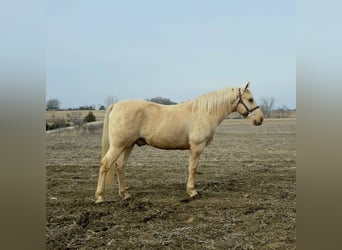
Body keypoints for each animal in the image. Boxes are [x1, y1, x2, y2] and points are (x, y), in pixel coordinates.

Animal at [95, 82, 264, 203]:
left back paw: (125, 194)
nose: (260, 119)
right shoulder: (197, 147)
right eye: (250, 99)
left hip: (128, 145)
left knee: (119, 166)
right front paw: (192, 191)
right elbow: (193, 168)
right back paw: (100, 197)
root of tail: (116, 105)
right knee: (105, 164)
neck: (205, 112)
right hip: (118, 146)